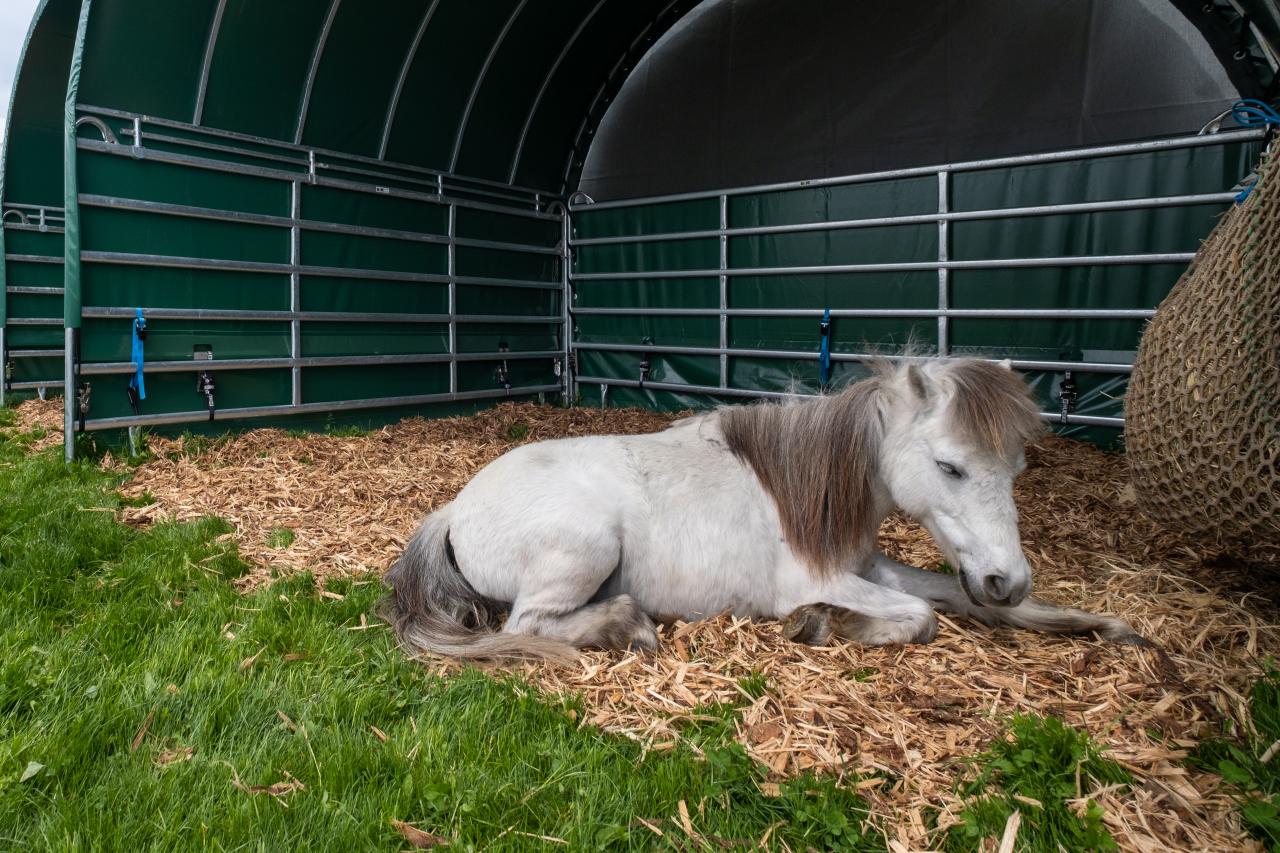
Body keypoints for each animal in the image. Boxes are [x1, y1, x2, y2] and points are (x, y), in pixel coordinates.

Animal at [383, 357, 1146, 662]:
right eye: (950, 467)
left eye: (1016, 468)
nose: (1007, 578)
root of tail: (454, 508)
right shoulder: (819, 577)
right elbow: (921, 616)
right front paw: (823, 624)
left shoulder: (870, 564)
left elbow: (952, 598)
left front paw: (1100, 624)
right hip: (584, 551)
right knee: (530, 626)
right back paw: (626, 624)